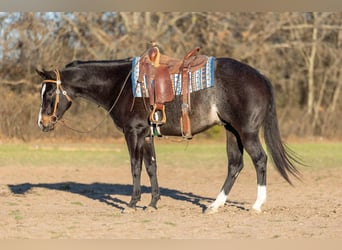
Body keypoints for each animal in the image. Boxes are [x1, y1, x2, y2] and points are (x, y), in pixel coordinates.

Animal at [36, 55, 300, 214]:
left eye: (48, 93)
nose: (42, 122)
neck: (121, 84)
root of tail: (261, 77)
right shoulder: (146, 135)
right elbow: (151, 166)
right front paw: (153, 202)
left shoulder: (133, 133)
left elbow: (135, 166)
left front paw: (132, 203)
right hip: (231, 131)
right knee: (235, 165)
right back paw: (215, 205)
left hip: (247, 132)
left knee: (260, 160)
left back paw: (257, 204)